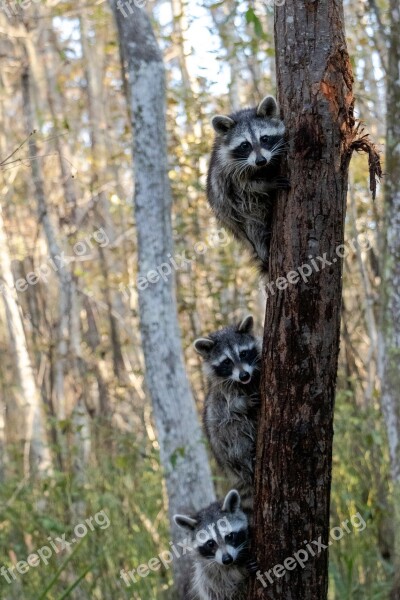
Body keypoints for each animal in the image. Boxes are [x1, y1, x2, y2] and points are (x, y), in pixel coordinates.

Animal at [195, 314, 262, 510]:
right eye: (226, 362)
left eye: (243, 353)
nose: (244, 375)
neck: (246, 383)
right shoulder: (221, 394)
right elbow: (228, 410)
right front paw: (243, 403)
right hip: (225, 447)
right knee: (234, 430)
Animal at [206, 95, 288, 272]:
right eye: (245, 145)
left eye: (264, 139)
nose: (261, 161)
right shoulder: (227, 172)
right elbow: (245, 189)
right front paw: (267, 184)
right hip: (239, 219)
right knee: (253, 222)